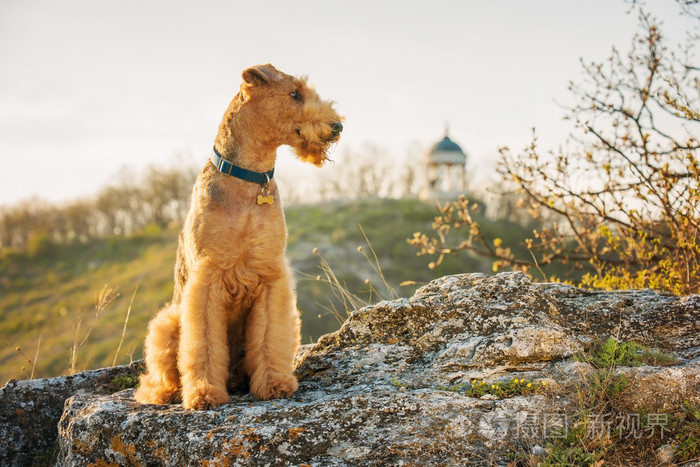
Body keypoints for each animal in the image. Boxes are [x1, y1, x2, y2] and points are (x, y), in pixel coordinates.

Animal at [133, 65, 342, 410]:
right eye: (294, 93)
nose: (337, 126)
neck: (250, 181)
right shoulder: (207, 278)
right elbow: (203, 343)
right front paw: (204, 393)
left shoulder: (270, 275)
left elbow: (269, 337)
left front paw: (274, 383)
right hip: (167, 322)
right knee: (160, 374)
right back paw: (166, 392)